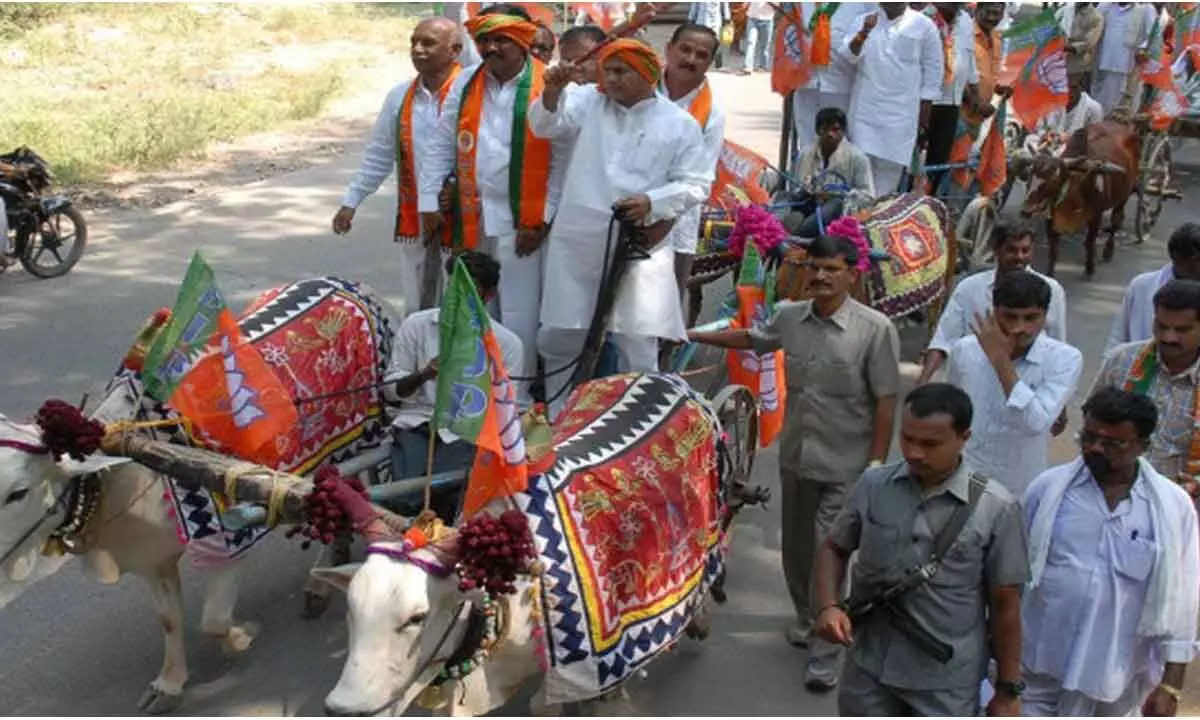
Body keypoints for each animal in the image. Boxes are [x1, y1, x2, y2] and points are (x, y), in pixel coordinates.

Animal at [1017, 121, 1137, 278]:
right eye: (1030, 175)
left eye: (1054, 180)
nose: (1026, 210)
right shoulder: (1052, 214)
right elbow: (1054, 248)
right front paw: (1050, 275)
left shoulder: (1096, 215)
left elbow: (1090, 241)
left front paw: (1090, 268)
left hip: (1124, 196)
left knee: (1116, 221)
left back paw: (1108, 251)